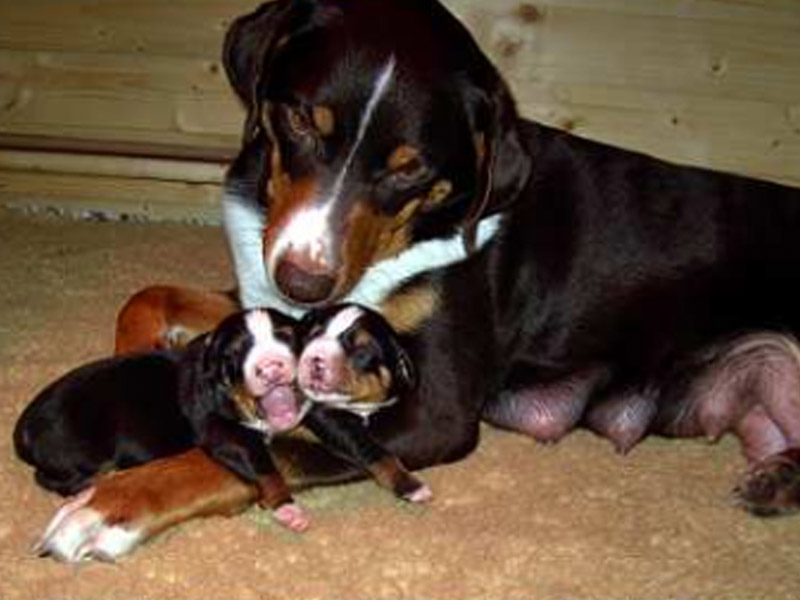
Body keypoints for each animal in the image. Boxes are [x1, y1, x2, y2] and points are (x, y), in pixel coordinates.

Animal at [32, 0, 800, 562]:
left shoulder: (433, 409)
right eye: (298, 120)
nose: (305, 283)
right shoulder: (260, 299)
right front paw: (132, 359)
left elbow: (257, 448)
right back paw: (776, 480)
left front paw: (115, 503)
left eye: (410, 169)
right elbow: (152, 292)